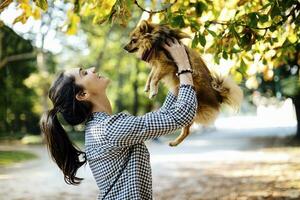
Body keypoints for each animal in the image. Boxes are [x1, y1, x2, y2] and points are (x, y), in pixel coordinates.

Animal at [123, 19, 243, 147]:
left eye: (133, 40)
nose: (124, 47)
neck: (155, 40)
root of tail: (218, 96)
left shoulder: (166, 64)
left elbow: (154, 77)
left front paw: (153, 91)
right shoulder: (158, 64)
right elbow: (151, 75)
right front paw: (147, 86)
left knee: (187, 129)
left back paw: (176, 141)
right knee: (187, 130)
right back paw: (175, 142)